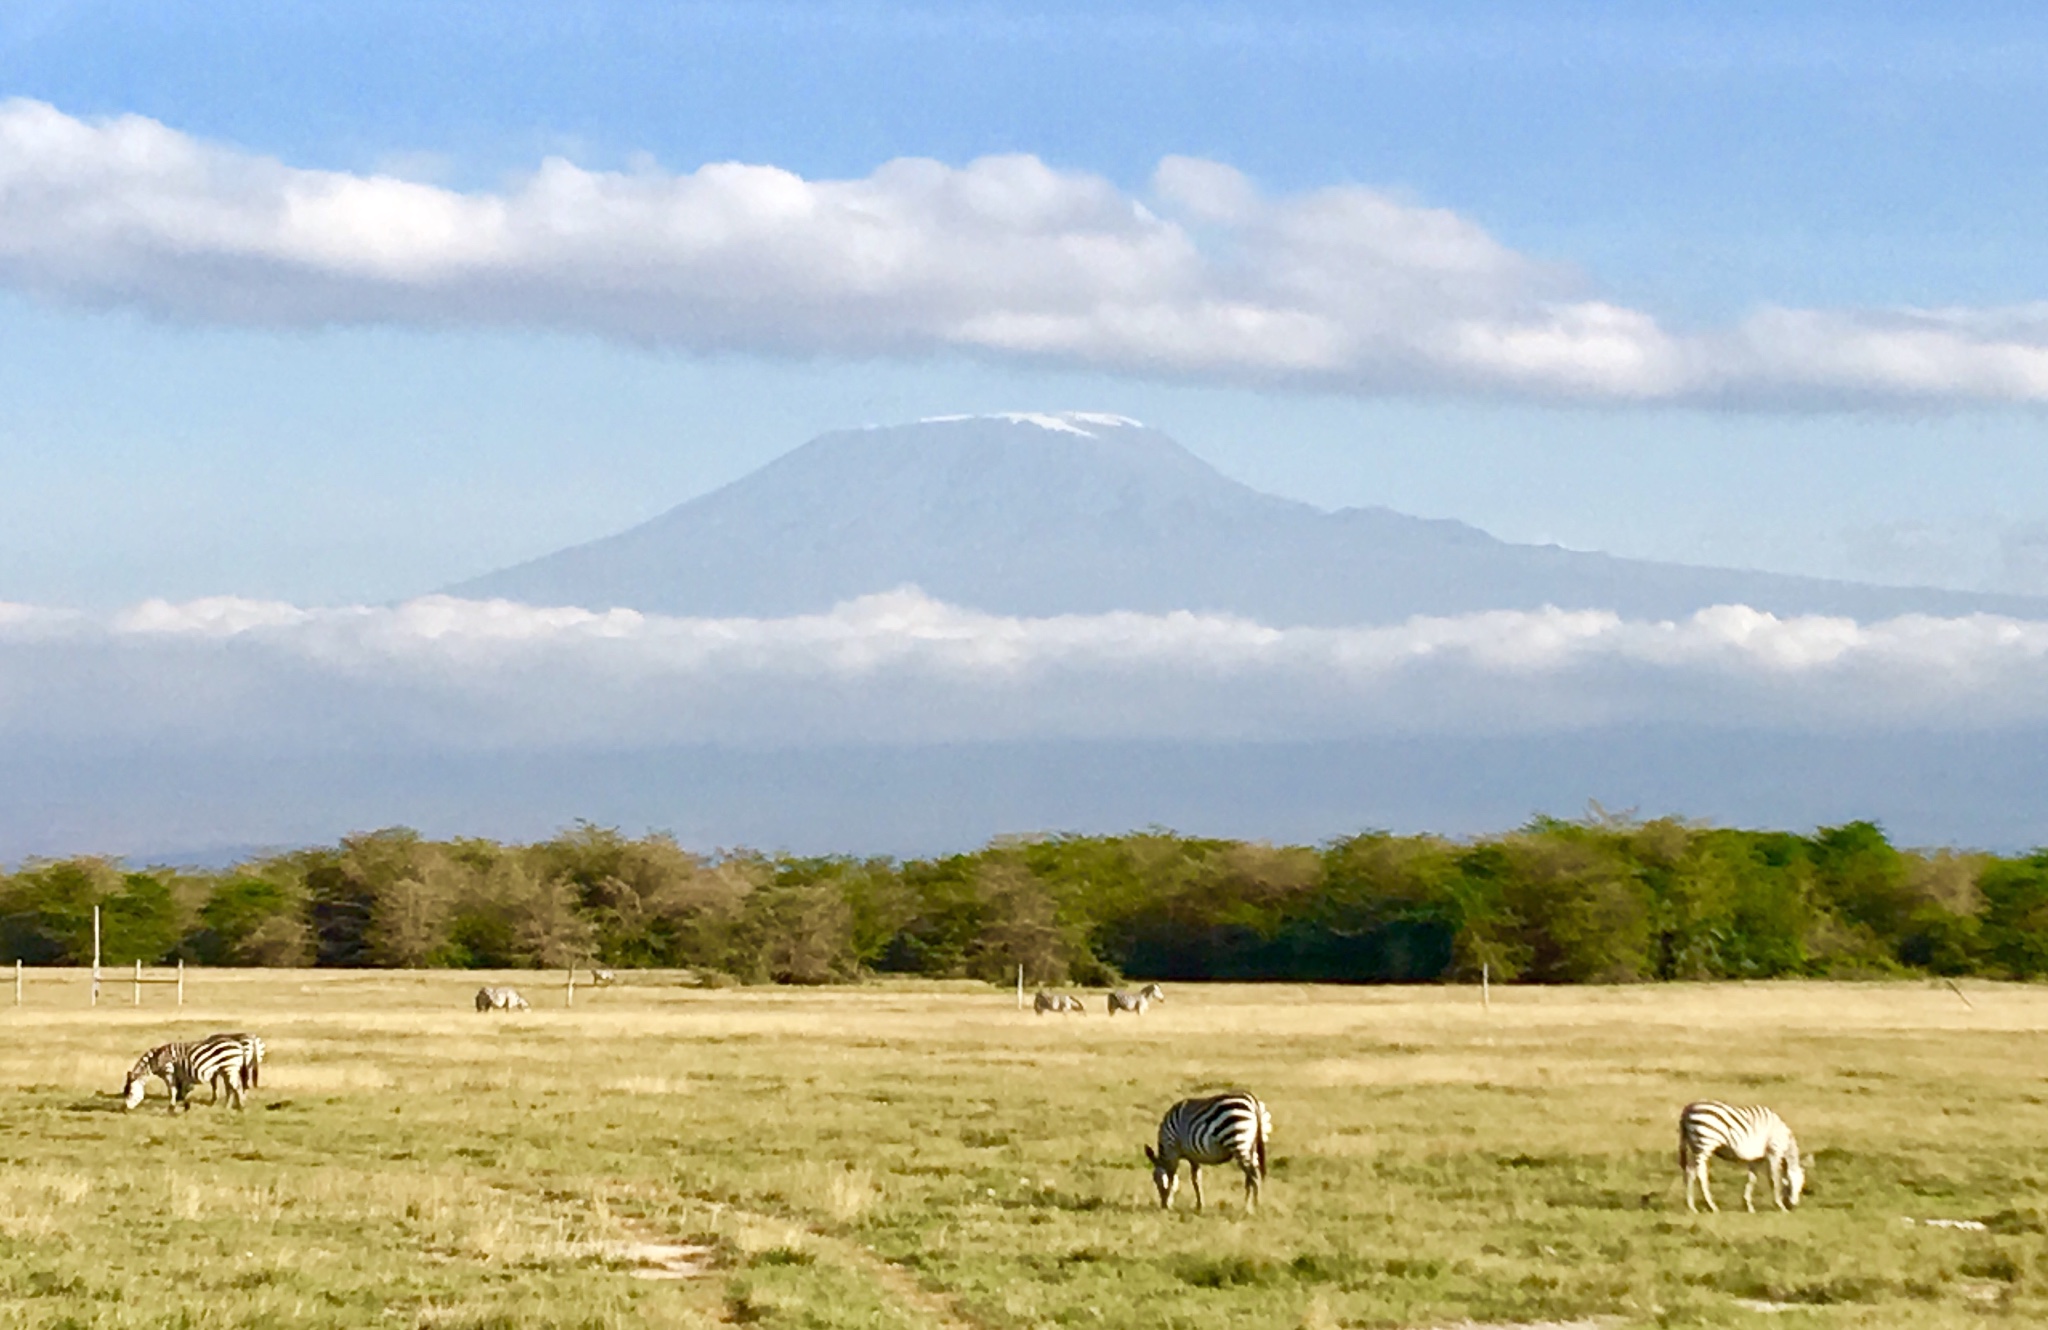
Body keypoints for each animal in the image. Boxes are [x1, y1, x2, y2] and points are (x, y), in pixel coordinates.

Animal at [1679, 1098, 1810, 1213]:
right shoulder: (1774, 1152)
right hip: (1705, 1144)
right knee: (1701, 1174)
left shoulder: (1757, 1158)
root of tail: (1689, 1108)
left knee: (1690, 1171)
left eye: (1801, 1186)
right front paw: (1780, 1206)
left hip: (1695, 1146)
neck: (1784, 1138)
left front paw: (1748, 1206)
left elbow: (1752, 1179)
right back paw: (1712, 1206)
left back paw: (1692, 1207)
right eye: (1791, 1184)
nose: (1793, 1205)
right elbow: (1775, 1180)